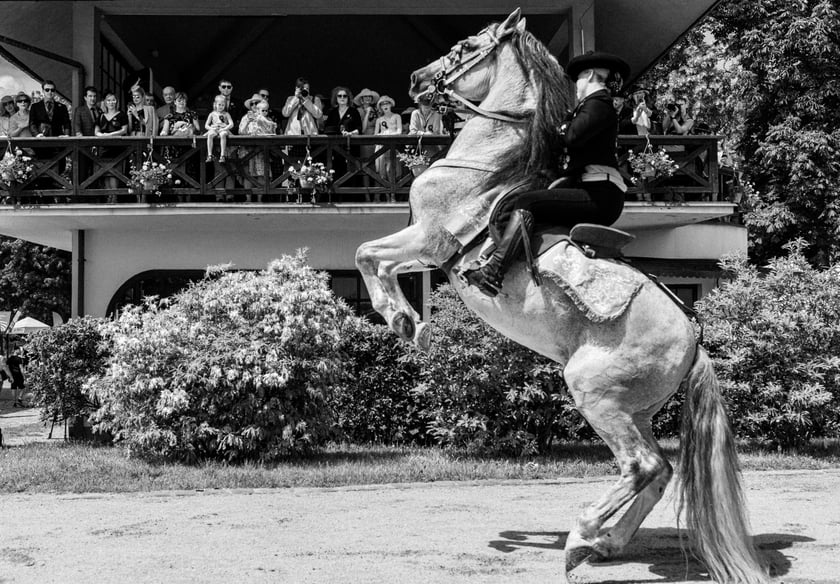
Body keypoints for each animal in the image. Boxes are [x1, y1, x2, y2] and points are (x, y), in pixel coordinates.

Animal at [354, 9, 768, 584]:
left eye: (467, 45)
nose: (417, 80)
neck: (487, 164)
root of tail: (693, 340)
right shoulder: (428, 250)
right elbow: (373, 257)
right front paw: (408, 322)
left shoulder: (432, 240)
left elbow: (366, 254)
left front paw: (404, 322)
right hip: (633, 409)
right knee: (658, 471)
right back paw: (601, 545)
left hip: (596, 393)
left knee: (643, 466)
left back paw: (582, 535)